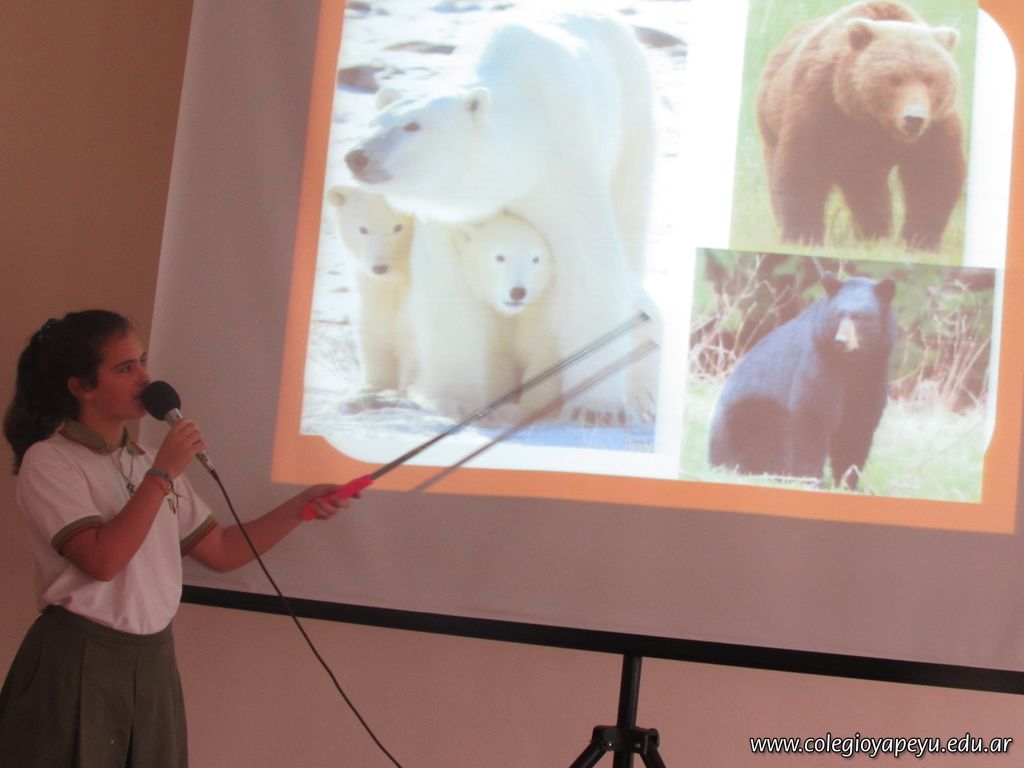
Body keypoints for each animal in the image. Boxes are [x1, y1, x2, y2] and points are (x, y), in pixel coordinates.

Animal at [325, 185, 414, 392]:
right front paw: (376, 384)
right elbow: (376, 334)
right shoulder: (372, 286)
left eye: (398, 226)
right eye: (363, 229)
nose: (380, 267)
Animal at [343, 12, 657, 424]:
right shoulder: (451, 215)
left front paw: (596, 408)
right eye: (372, 123)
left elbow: (589, 268)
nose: (356, 156)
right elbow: (447, 288)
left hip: (631, 118)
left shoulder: (564, 166)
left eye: (412, 126)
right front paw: (451, 400)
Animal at [708, 273, 896, 489]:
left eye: (860, 317)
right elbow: (813, 415)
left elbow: (858, 422)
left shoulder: (873, 373)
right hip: (749, 414)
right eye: (838, 315)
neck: (850, 365)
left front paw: (849, 483)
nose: (841, 341)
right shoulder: (819, 364)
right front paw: (811, 480)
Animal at [756, 1, 965, 251]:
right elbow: (804, 165)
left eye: (929, 79)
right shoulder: (820, 102)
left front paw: (918, 241)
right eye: (894, 78)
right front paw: (803, 236)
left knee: (868, 190)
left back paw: (873, 233)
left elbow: (933, 174)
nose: (914, 118)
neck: (870, 120)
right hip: (771, 122)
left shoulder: (936, 125)